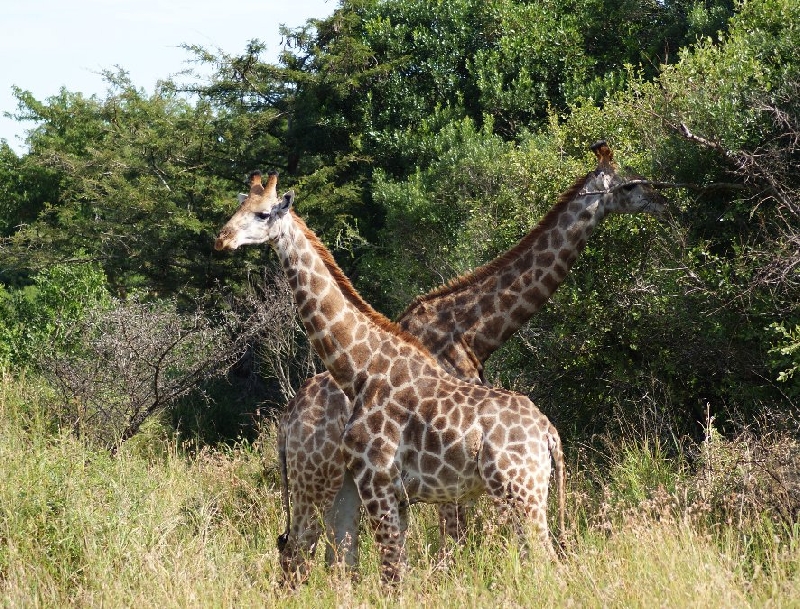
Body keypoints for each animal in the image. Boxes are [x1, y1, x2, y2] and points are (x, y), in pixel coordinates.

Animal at [214, 171, 568, 584]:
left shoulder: (377, 481)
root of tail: (549, 433)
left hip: (519, 490)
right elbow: (396, 570)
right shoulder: (396, 494)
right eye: (239, 206)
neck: (360, 369)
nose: (222, 239)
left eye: (263, 213)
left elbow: (391, 574)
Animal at [272, 140, 664, 576]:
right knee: (296, 549)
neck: (472, 333)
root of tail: (287, 419)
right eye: (629, 185)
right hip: (315, 477)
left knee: (331, 551)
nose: (662, 200)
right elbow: (454, 541)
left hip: (339, 485)